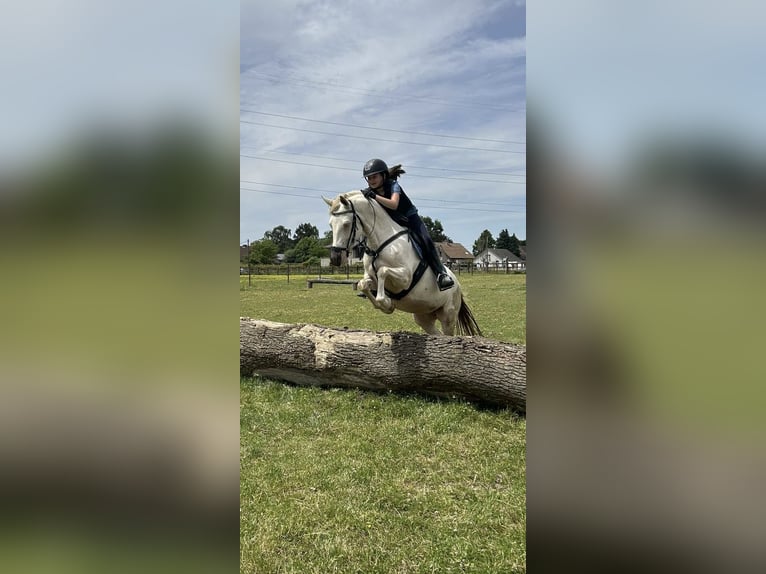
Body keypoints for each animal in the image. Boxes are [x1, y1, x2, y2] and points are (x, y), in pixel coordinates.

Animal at [322, 192, 480, 338]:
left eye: (346, 224)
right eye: (330, 224)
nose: (335, 259)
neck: (379, 243)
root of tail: (458, 286)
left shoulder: (405, 277)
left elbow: (383, 272)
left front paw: (386, 303)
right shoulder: (370, 276)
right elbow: (363, 284)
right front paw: (386, 304)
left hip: (448, 315)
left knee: (447, 333)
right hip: (424, 317)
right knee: (436, 333)